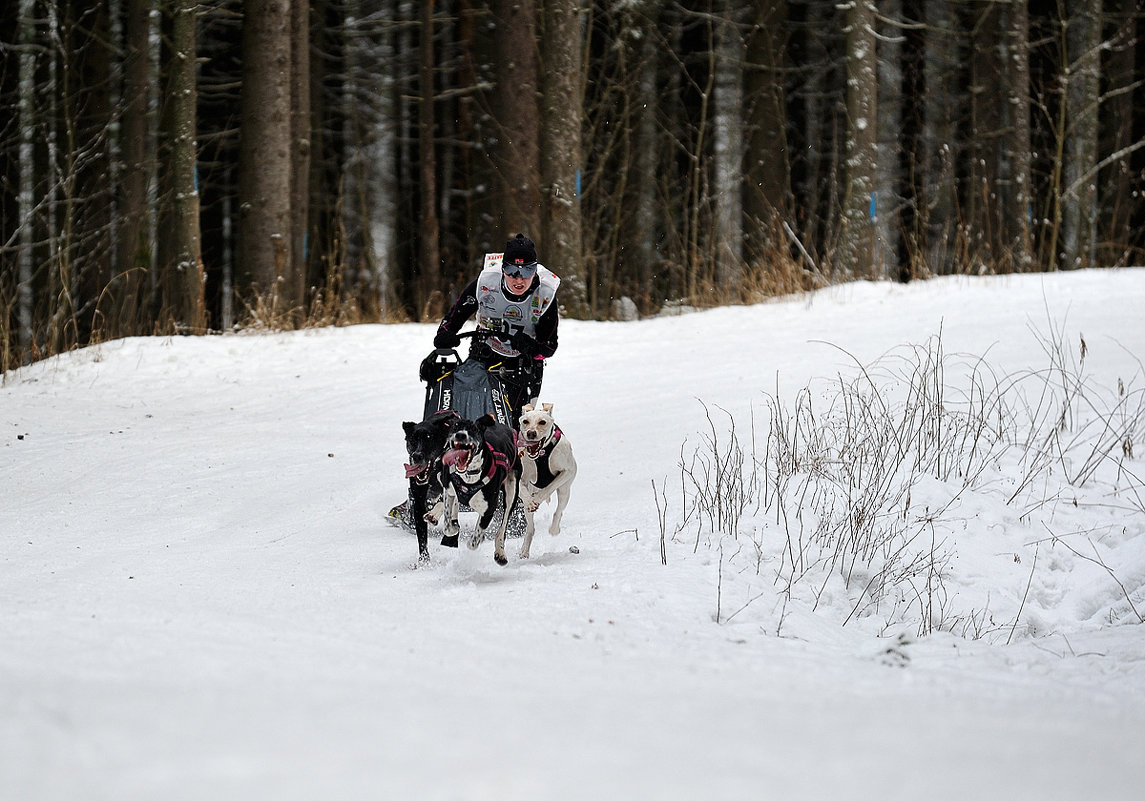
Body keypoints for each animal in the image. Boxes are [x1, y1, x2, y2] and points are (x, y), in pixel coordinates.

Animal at [400, 409, 458, 560]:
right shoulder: (418, 501)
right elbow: (422, 538)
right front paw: (424, 561)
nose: (417, 456)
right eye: (412, 439)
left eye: (429, 438)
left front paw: (433, 515)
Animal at [425, 416, 524, 565]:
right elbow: (448, 525)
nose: (460, 435)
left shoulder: (488, 510)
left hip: (511, 491)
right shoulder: (449, 489)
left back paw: (500, 553)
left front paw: (475, 539)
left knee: (503, 526)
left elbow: (474, 541)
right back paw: (434, 515)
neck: (469, 476)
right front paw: (453, 526)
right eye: (455, 426)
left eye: (473, 429)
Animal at [517, 400, 577, 556]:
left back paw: (554, 529)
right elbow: (521, 490)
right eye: (525, 421)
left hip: (565, 491)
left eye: (542, 422)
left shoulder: (567, 471)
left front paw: (538, 499)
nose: (531, 433)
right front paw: (531, 501)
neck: (541, 456)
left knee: (559, 511)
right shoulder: (519, 476)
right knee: (531, 528)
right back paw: (524, 550)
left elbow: (549, 488)